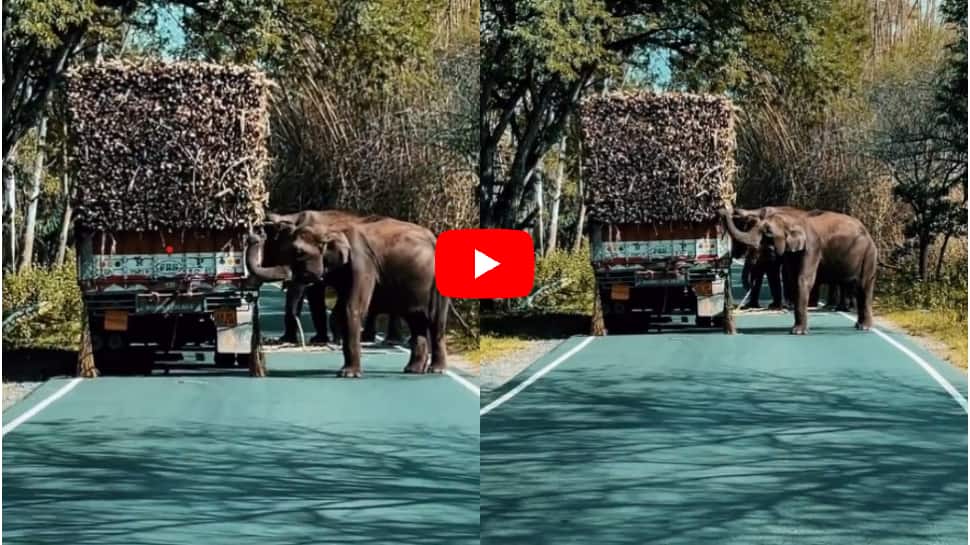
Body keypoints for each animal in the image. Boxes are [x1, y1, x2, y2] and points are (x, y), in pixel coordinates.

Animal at [246, 212, 448, 377]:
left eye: (299, 252)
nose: (255, 235)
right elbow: (342, 307)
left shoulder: (362, 263)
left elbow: (351, 308)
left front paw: (347, 374)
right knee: (416, 321)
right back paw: (413, 369)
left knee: (435, 321)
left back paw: (435, 369)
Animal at [720, 206, 877, 334]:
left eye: (768, 234)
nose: (723, 210)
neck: (793, 221)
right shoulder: (791, 252)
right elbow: (793, 279)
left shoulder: (812, 247)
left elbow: (802, 280)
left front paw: (798, 332)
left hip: (869, 254)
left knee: (863, 286)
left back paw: (862, 325)